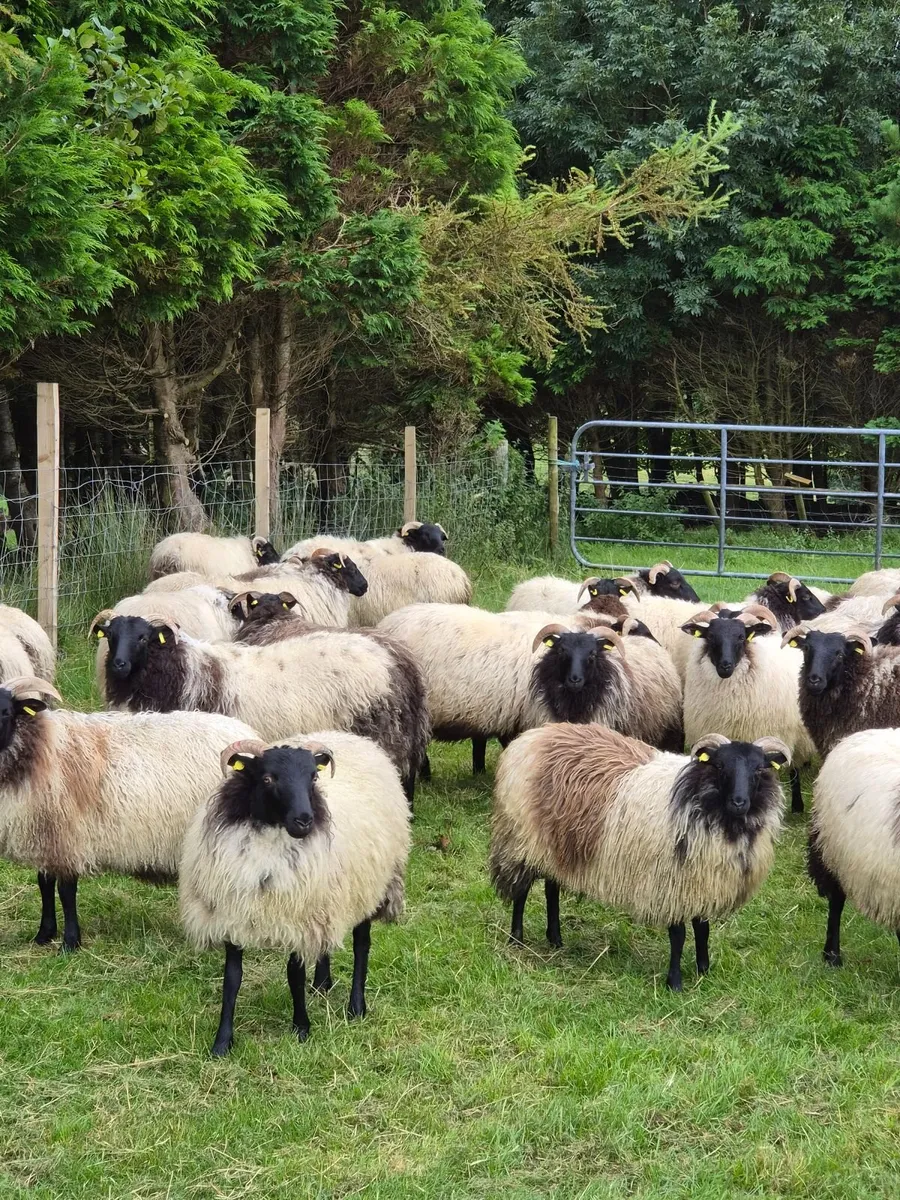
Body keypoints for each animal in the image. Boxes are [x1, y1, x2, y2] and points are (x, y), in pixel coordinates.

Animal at [0, 675, 258, 950]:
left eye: (6, 712)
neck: (41, 746)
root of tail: (248, 735)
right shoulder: (47, 837)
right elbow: (44, 885)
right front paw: (44, 935)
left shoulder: (68, 838)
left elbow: (66, 892)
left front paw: (70, 943)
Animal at [91, 612, 429, 805]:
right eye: (111, 636)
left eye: (143, 637)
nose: (118, 665)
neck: (185, 672)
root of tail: (398, 658)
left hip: (386, 735)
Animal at [179, 731, 410, 1054]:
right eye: (267, 778)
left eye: (313, 777)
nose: (304, 820)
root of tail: (355, 738)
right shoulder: (234, 913)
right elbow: (232, 979)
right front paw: (222, 1041)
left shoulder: (298, 918)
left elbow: (294, 974)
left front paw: (301, 1027)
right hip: (327, 899)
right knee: (326, 942)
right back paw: (322, 984)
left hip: (369, 886)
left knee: (361, 945)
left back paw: (356, 1007)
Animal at [490, 724, 788, 990]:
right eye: (720, 767)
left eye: (759, 769)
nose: (739, 802)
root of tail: (531, 736)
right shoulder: (670, 883)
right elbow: (678, 935)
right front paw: (675, 983)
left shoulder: (702, 881)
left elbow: (702, 930)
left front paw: (704, 970)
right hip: (521, 840)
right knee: (521, 891)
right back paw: (517, 939)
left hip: (558, 844)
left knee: (551, 888)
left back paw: (555, 939)